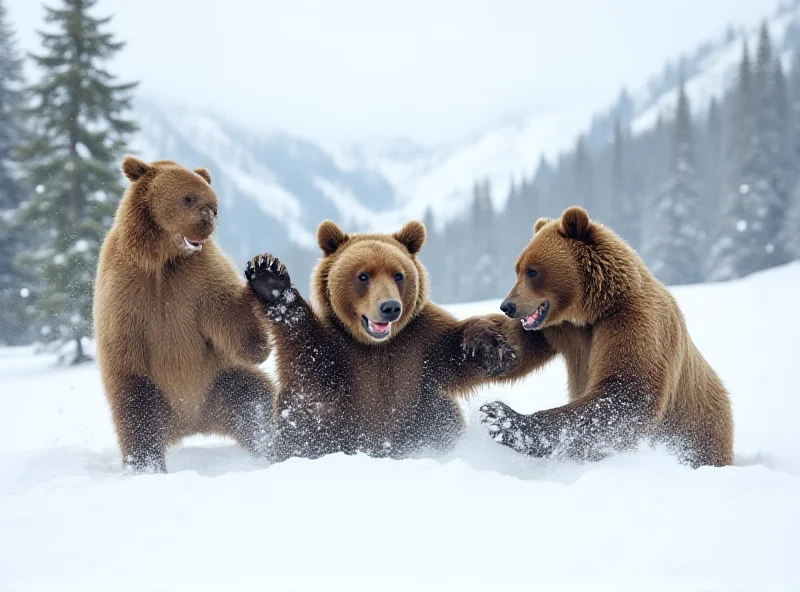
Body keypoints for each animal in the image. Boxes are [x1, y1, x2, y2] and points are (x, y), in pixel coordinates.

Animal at [93, 155, 276, 474]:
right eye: (188, 198)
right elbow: (122, 343)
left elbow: (233, 318)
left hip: (222, 380)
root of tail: (191, 423)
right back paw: (146, 466)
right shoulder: (125, 290)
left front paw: (263, 274)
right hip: (155, 394)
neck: (163, 260)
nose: (209, 221)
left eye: (214, 204)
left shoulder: (198, 280)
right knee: (139, 422)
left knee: (256, 403)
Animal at [245, 220, 520, 460]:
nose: (390, 307)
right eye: (363, 276)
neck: (376, 345)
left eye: (398, 275)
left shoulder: (420, 342)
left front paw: (488, 346)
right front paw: (269, 277)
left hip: (423, 410)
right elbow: (309, 362)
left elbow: (455, 353)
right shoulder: (338, 350)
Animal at [478, 205, 736, 468]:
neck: (594, 308)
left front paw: (502, 418)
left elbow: (626, 391)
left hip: (698, 431)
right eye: (518, 269)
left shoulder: (632, 321)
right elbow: (516, 351)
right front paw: (481, 343)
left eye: (532, 271)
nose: (507, 306)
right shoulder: (561, 330)